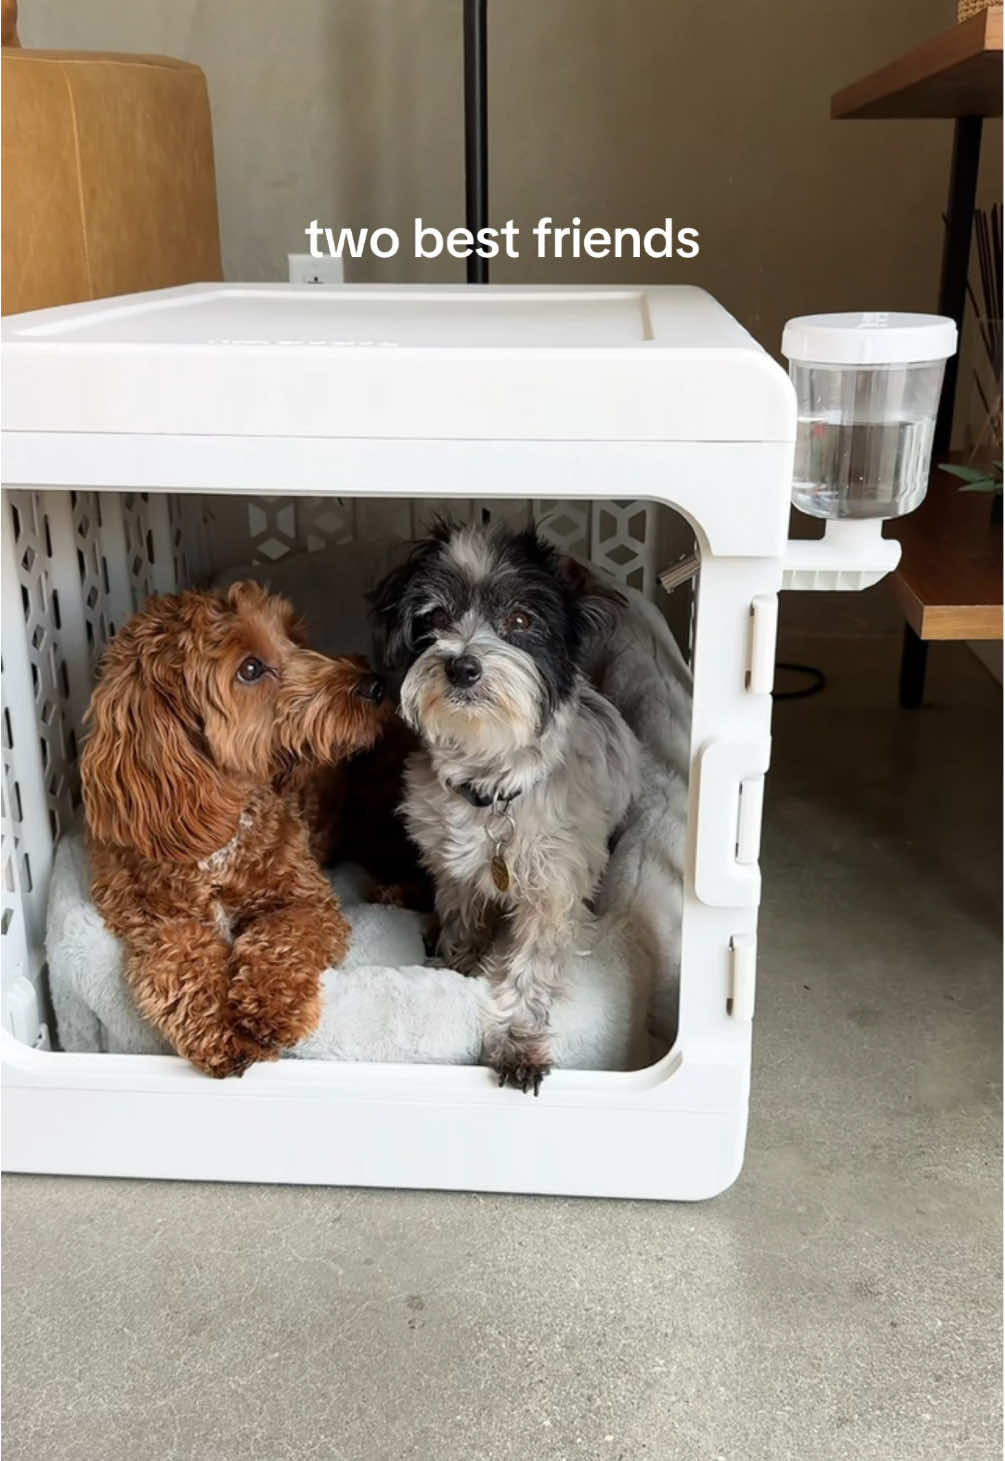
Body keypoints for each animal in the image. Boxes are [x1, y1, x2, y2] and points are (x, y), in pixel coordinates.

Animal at [80, 578, 385, 1075]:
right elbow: (181, 956)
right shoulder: (152, 918)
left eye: (294, 635)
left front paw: (267, 1009)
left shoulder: (307, 899)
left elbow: (284, 935)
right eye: (250, 668)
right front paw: (222, 1027)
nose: (374, 684)